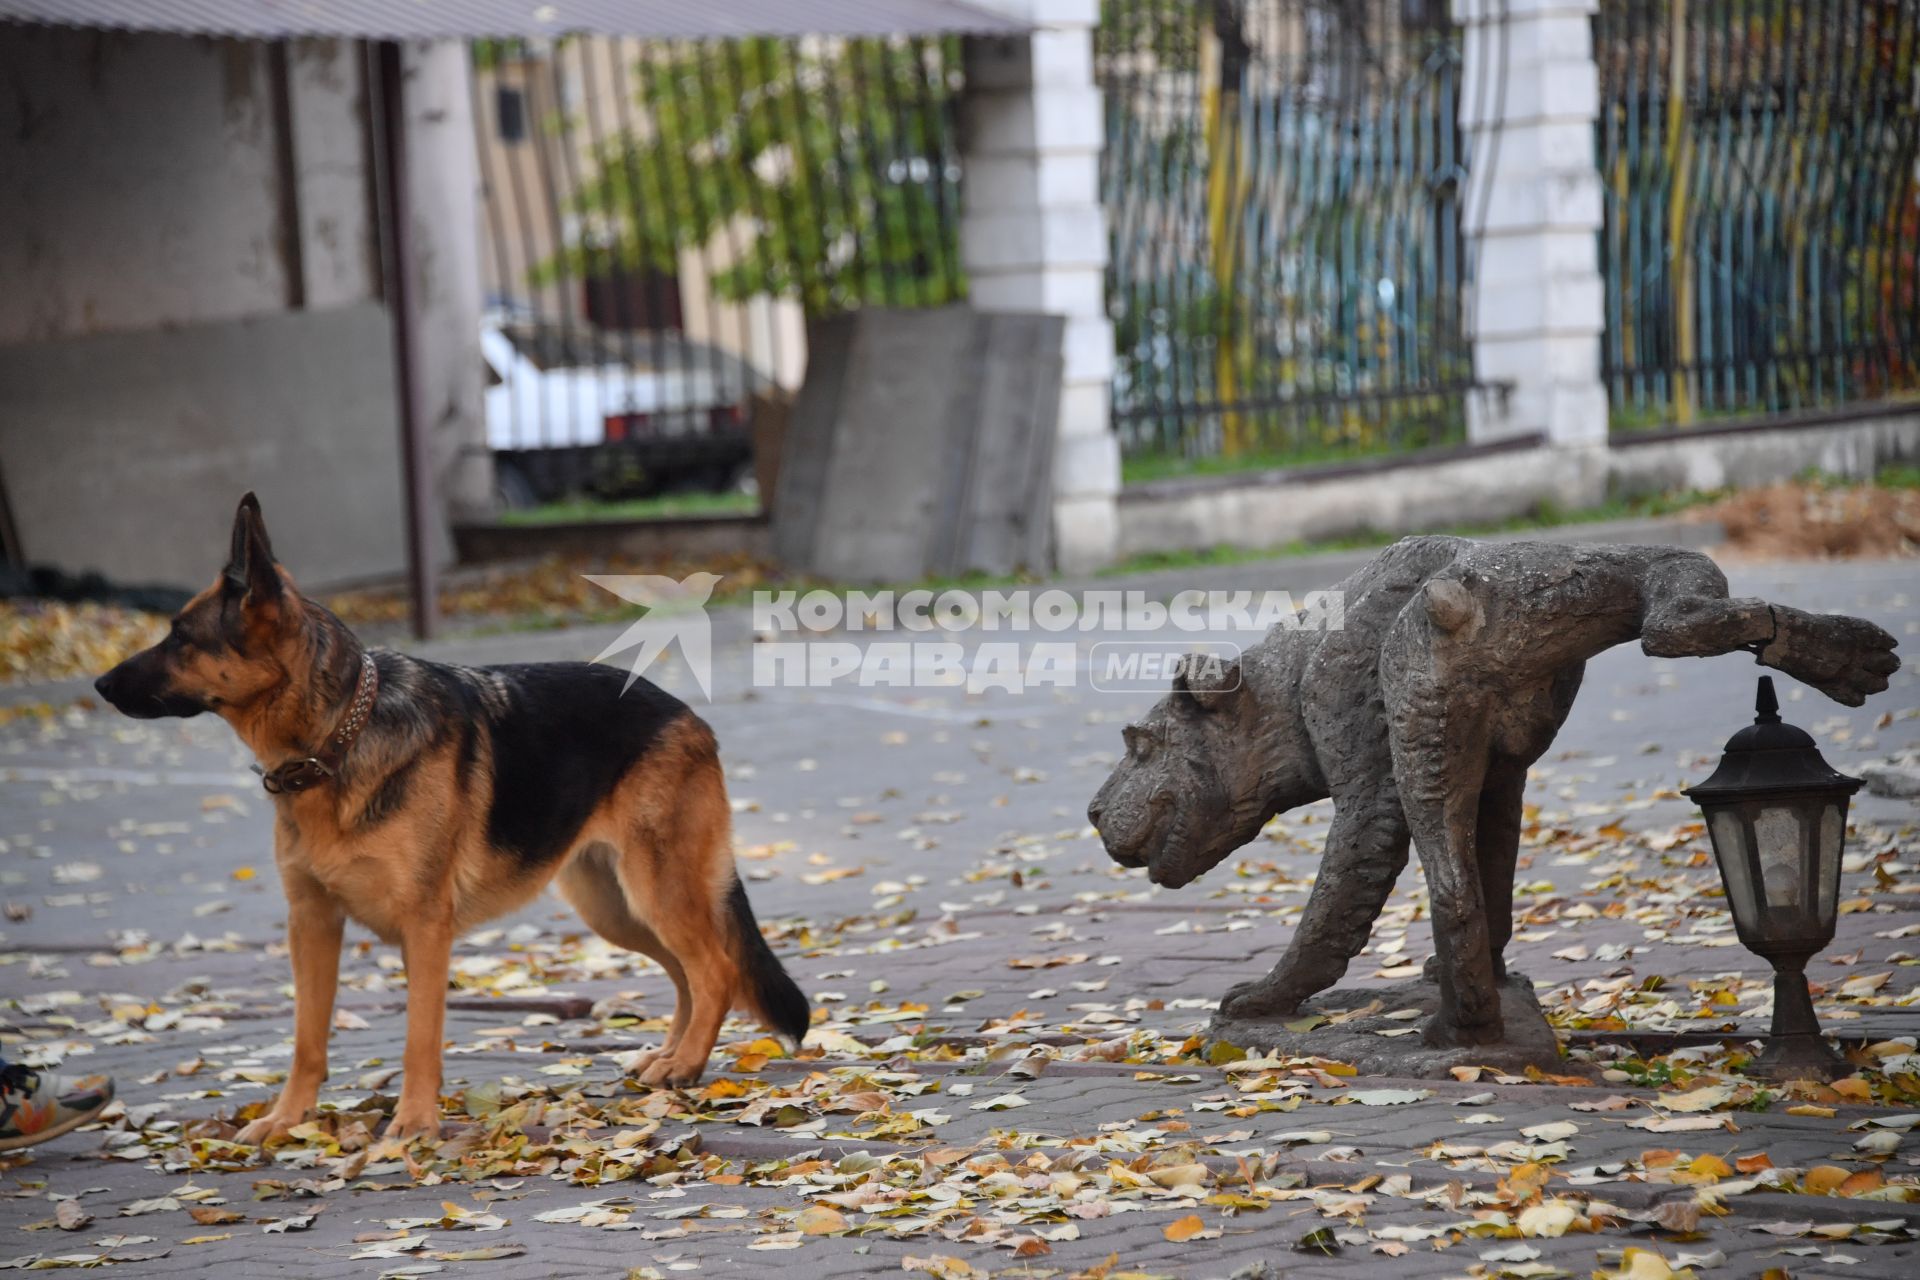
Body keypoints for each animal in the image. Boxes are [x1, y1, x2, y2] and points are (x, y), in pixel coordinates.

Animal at [95, 495, 810, 1143]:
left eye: (180, 637)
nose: (99, 686)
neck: (337, 739)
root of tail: (686, 712)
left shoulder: (424, 928)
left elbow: (420, 1035)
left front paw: (413, 1126)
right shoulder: (312, 925)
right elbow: (306, 1040)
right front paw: (287, 1120)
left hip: (655, 890)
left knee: (715, 970)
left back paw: (686, 1066)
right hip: (616, 907)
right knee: (690, 973)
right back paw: (671, 1057)